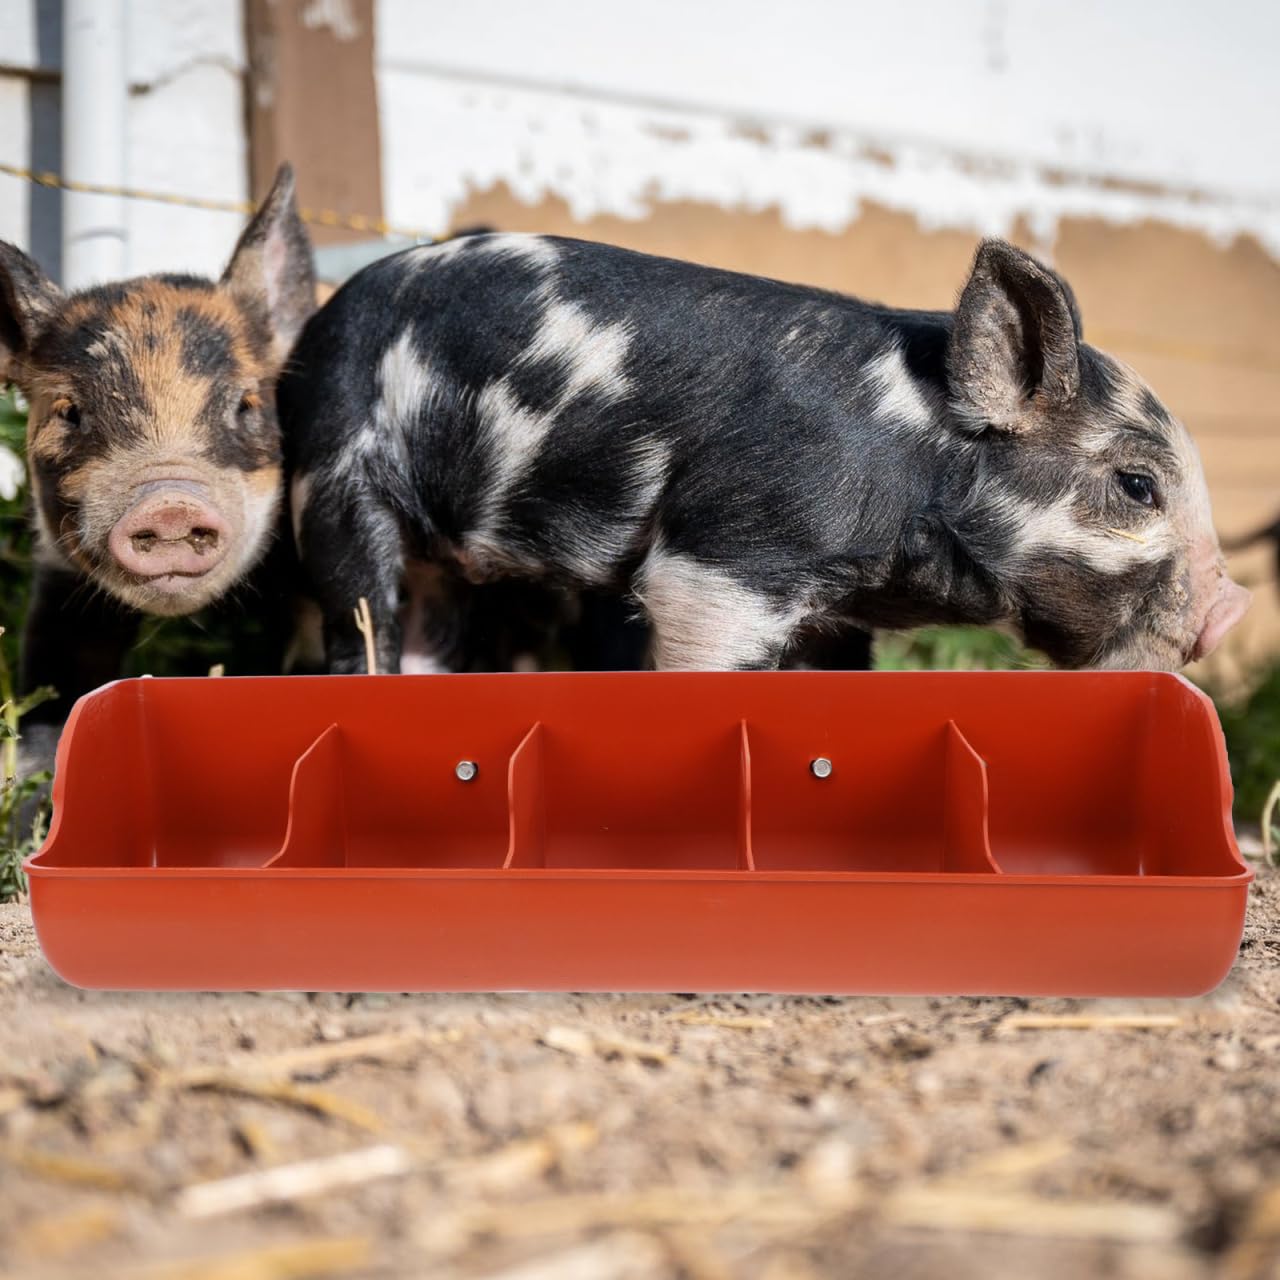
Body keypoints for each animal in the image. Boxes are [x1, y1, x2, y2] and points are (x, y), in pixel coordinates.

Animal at [281, 233, 1249, 675]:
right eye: (1137, 486)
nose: (1233, 606)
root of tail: (324, 320)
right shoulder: (728, 555)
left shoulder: (836, 612)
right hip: (332, 479)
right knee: (358, 616)